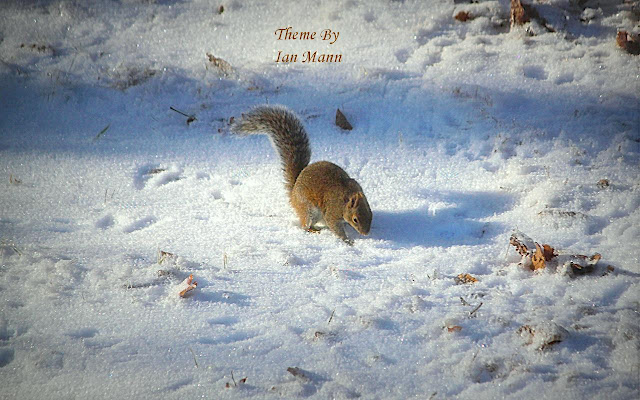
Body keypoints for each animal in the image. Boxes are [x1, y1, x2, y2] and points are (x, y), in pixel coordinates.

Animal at [231, 105, 372, 244]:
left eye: (370, 215)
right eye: (355, 219)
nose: (365, 233)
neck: (346, 198)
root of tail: (293, 192)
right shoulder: (332, 211)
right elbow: (334, 226)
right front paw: (347, 240)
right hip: (308, 210)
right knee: (305, 224)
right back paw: (312, 230)